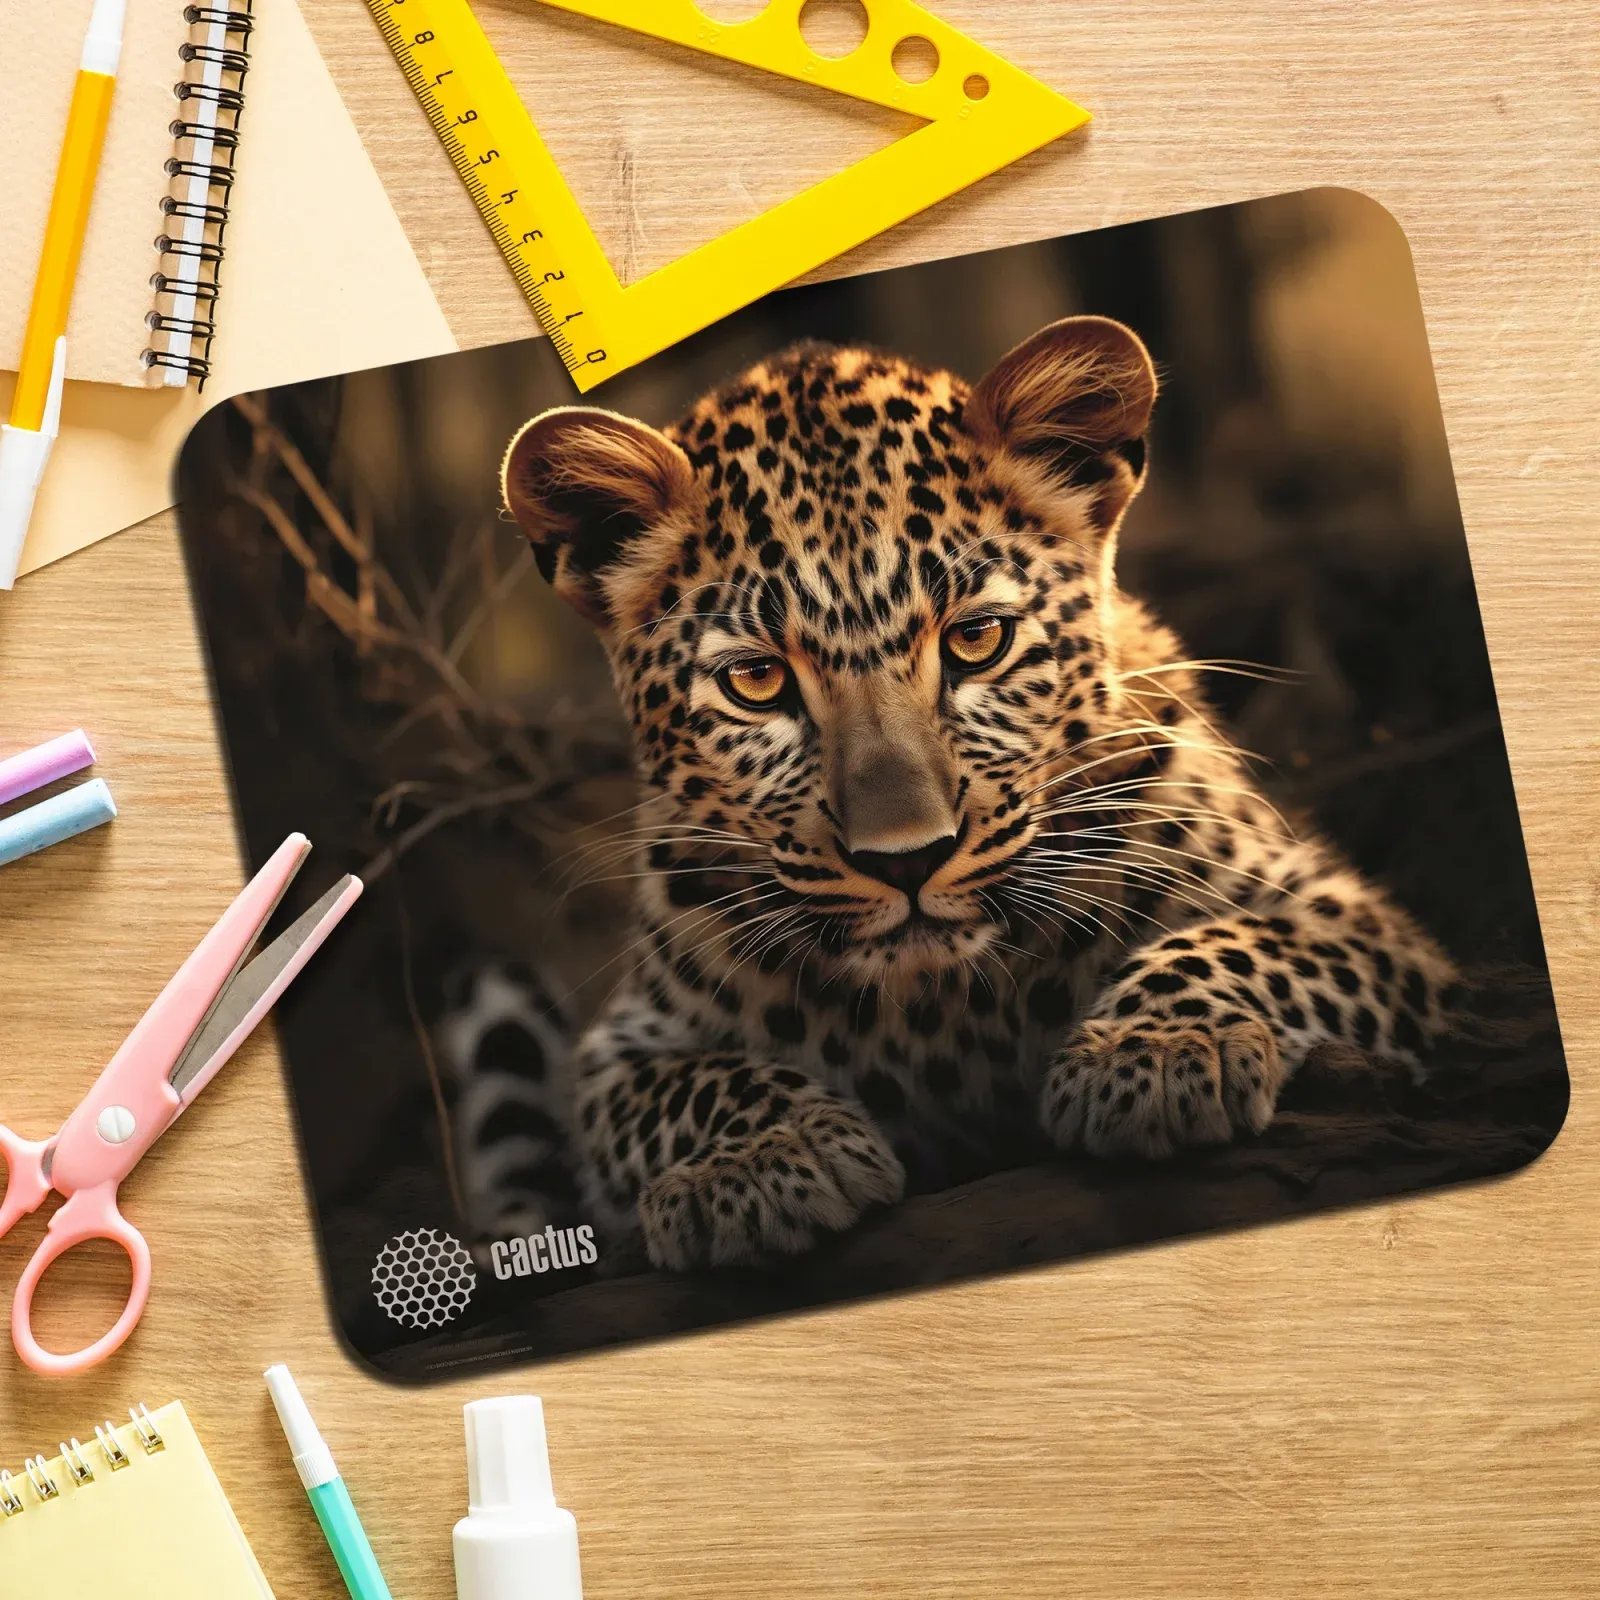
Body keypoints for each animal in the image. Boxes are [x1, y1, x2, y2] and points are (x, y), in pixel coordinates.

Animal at [493, 314, 1459, 1272]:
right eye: (757, 683)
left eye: (977, 640)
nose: (908, 861)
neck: (947, 1004)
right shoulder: (624, 1047)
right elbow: (682, 1087)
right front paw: (760, 1160)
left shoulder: (1353, 919)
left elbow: (1235, 944)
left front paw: (1158, 1052)